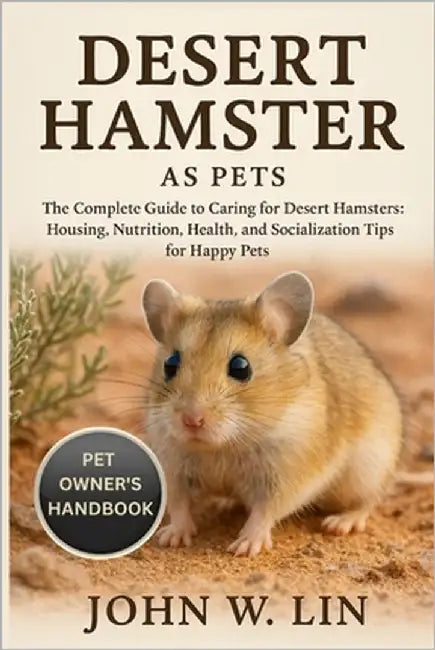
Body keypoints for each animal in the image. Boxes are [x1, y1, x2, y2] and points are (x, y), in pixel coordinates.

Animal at [142, 271, 403, 556]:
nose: (191, 420)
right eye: (170, 364)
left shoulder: (287, 476)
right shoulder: (172, 467)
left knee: (369, 501)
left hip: (369, 469)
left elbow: (265, 512)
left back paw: (342, 522)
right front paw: (172, 537)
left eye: (241, 367)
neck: (223, 446)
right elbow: (179, 505)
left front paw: (246, 546)